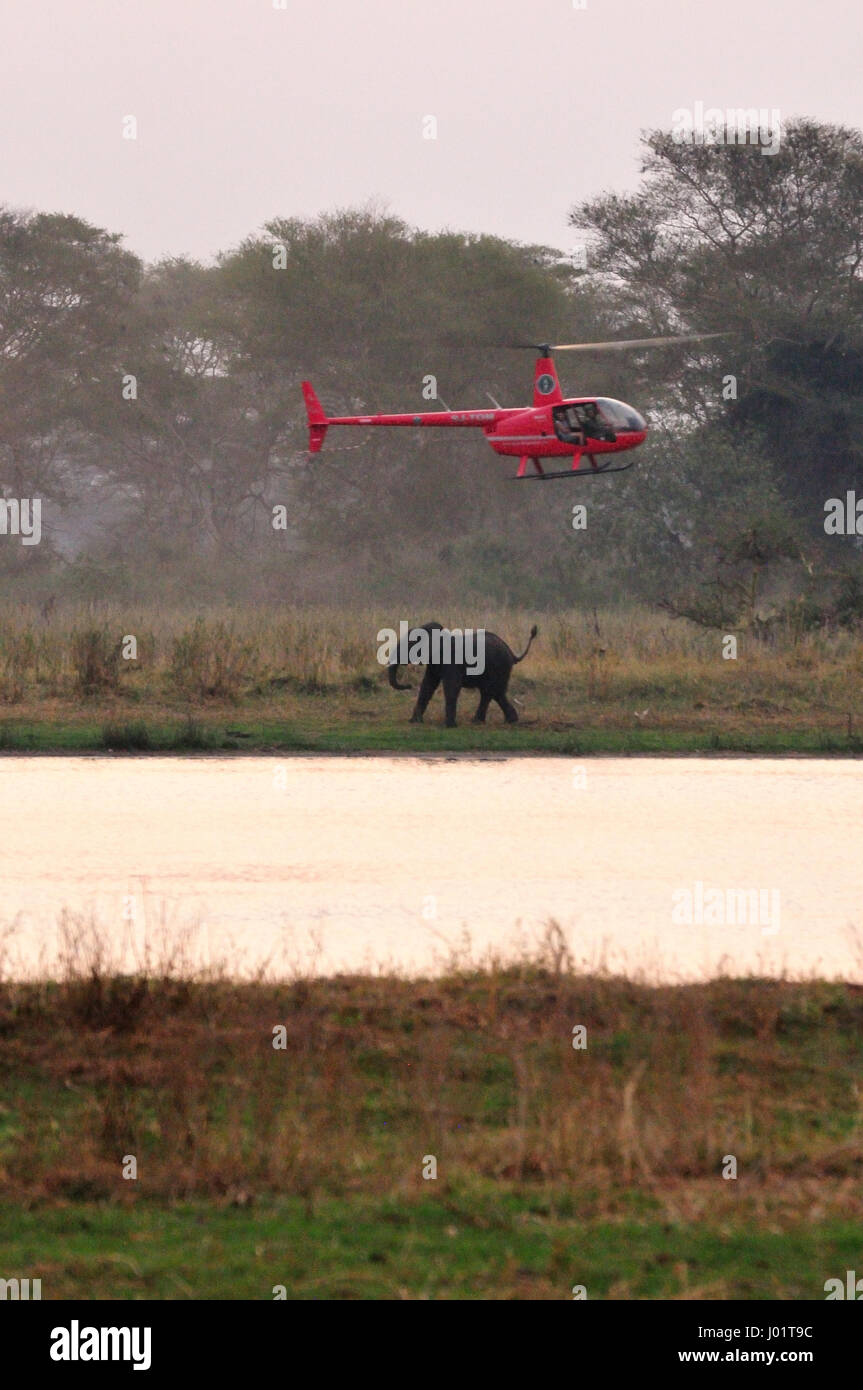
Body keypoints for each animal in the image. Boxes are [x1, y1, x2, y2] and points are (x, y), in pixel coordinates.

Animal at [388, 621, 539, 727]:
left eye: (410, 644)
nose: (409, 685)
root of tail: (512, 653)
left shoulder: (452, 661)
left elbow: (451, 686)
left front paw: (449, 726)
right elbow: (428, 685)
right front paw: (414, 722)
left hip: (499, 666)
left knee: (490, 691)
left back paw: (481, 721)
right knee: (495, 692)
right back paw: (505, 721)